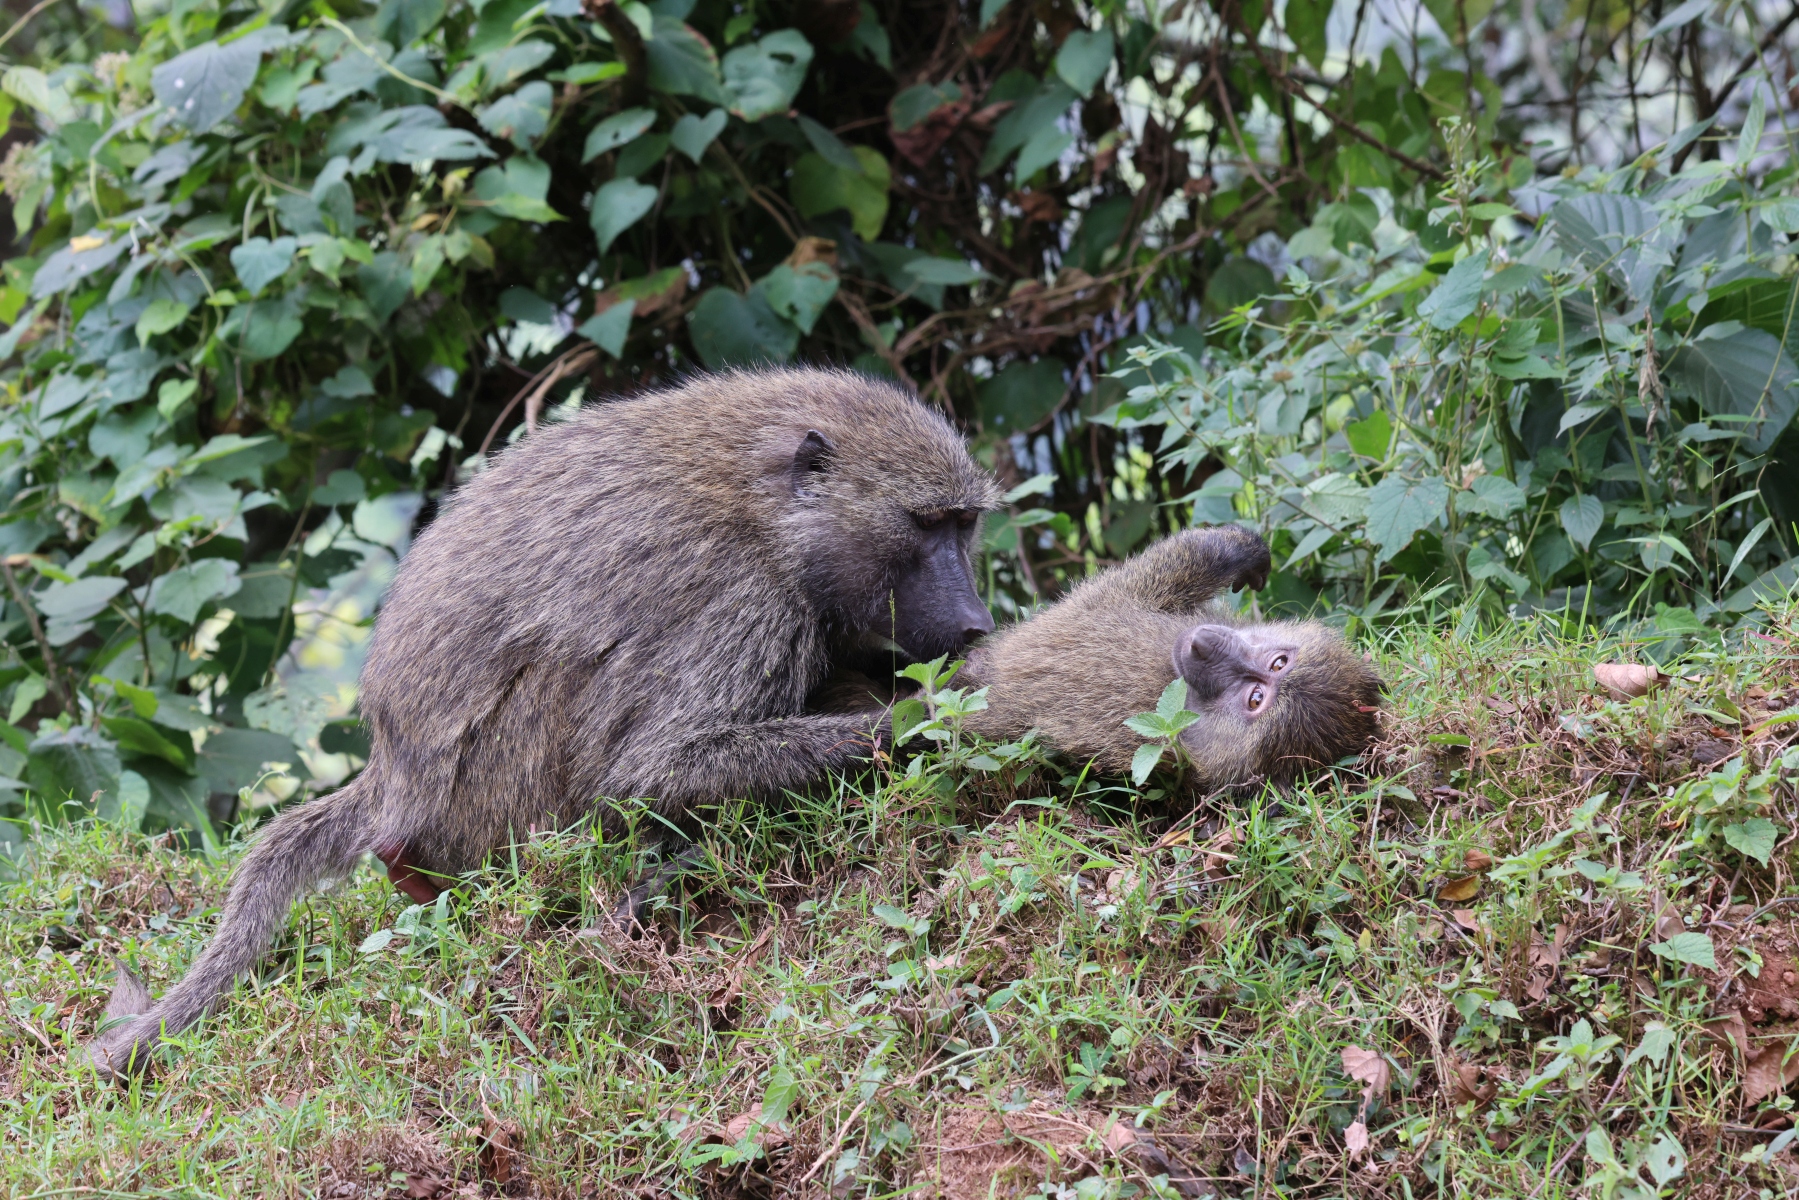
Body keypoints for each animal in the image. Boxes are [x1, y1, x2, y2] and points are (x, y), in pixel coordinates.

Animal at [89, 368, 1002, 1078]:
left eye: (964, 524)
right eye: (924, 524)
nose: (972, 624)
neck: (767, 503)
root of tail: (390, 775)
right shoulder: (743, 595)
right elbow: (653, 768)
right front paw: (929, 714)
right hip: (494, 792)